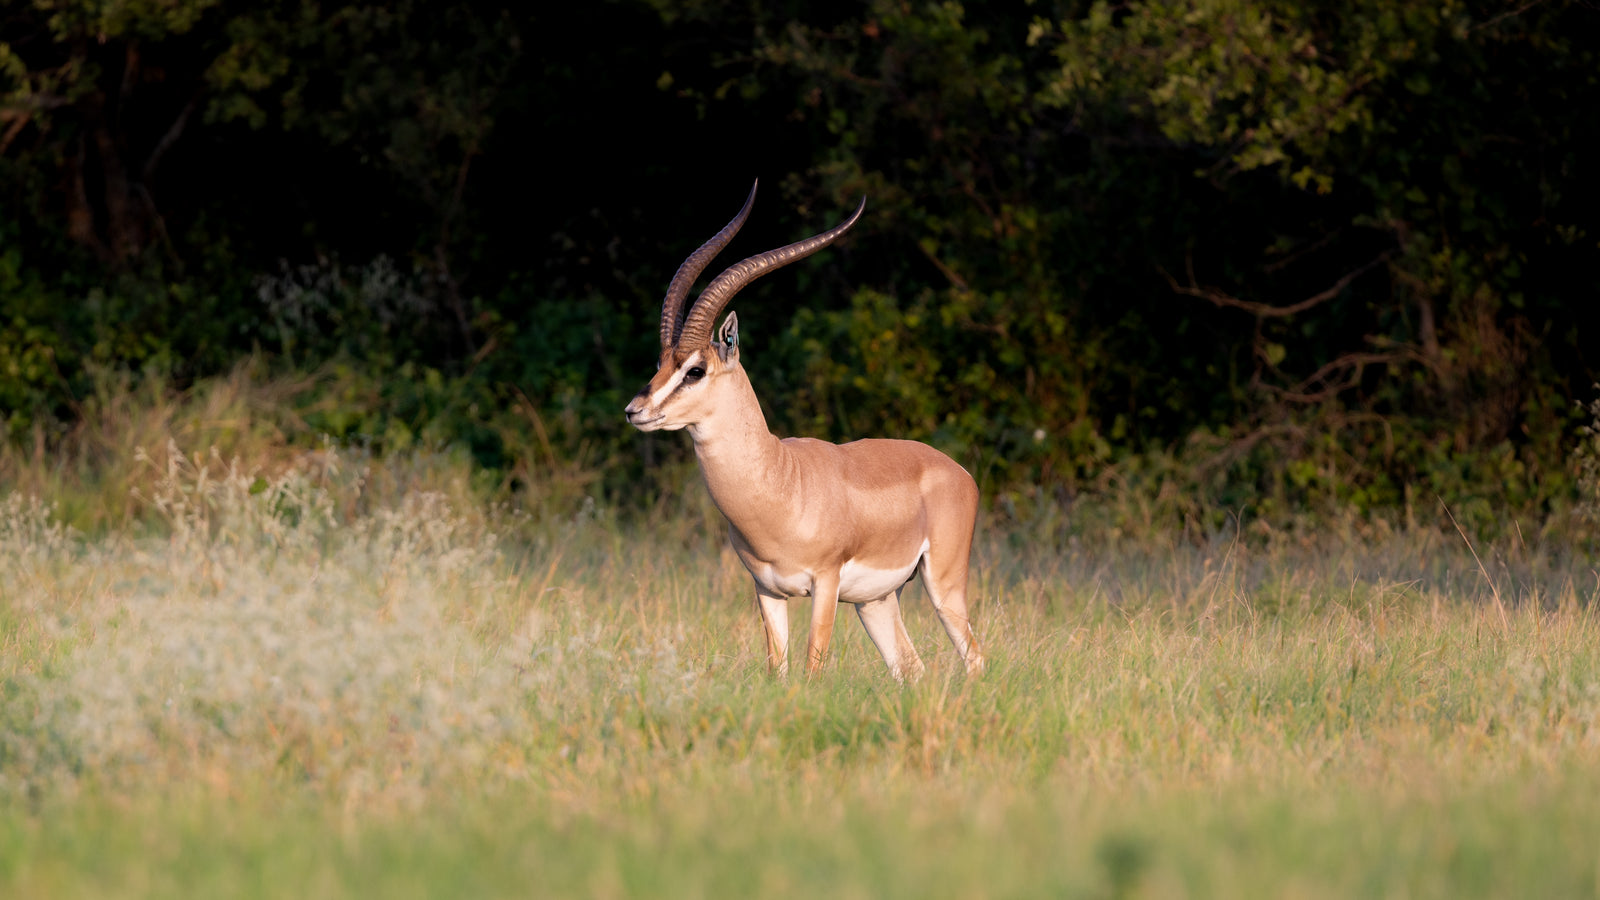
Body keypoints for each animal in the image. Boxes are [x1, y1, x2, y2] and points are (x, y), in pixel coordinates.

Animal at [623, 182, 984, 680]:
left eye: (695, 370)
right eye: (660, 363)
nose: (635, 411)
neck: (782, 480)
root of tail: (958, 471)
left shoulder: (825, 584)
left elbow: (813, 668)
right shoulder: (767, 591)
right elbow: (778, 669)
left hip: (943, 585)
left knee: (975, 658)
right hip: (876, 601)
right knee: (912, 669)